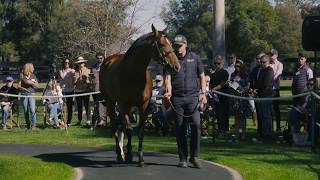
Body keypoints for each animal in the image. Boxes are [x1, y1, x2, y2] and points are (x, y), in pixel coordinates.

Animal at [99, 24, 180, 167]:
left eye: (171, 43)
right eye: (161, 44)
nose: (176, 66)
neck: (133, 73)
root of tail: (108, 60)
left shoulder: (144, 106)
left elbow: (140, 131)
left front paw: (140, 158)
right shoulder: (124, 105)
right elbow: (129, 130)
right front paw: (129, 155)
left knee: (120, 127)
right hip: (110, 102)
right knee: (115, 126)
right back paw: (119, 154)